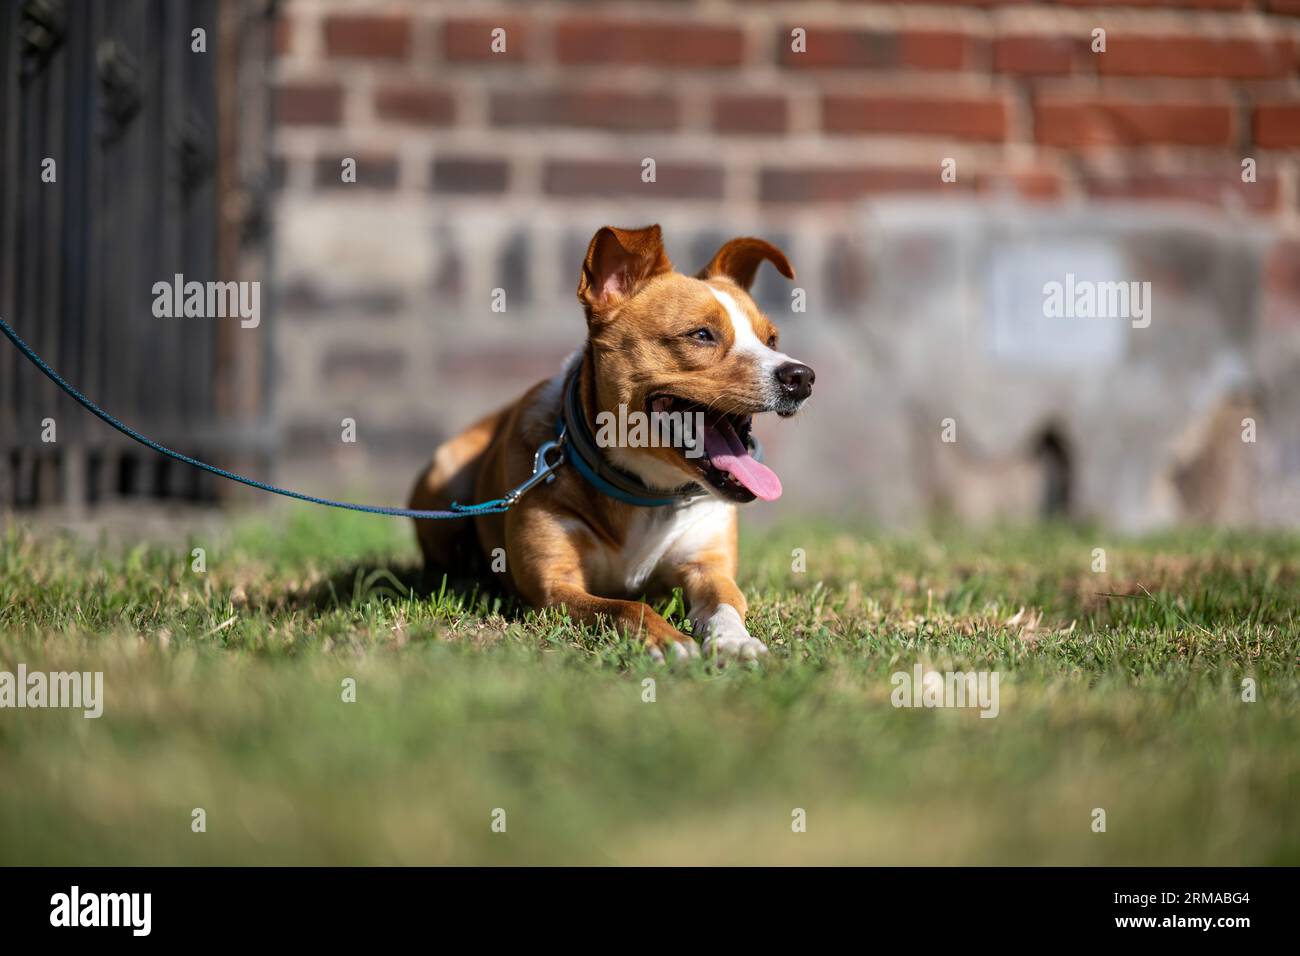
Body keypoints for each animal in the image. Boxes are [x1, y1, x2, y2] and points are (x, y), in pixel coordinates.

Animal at [405, 226, 811, 658]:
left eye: (772, 340)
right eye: (701, 334)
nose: (801, 376)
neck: (643, 489)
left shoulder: (707, 566)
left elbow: (726, 602)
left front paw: (736, 640)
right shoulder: (555, 588)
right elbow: (626, 607)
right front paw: (669, 639)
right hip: (442, 473)